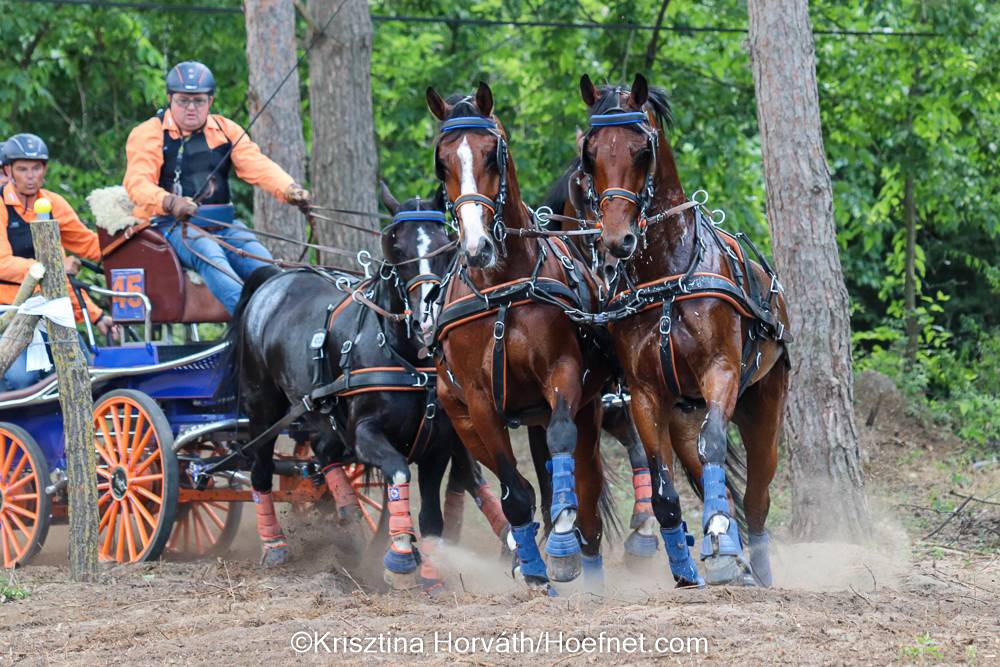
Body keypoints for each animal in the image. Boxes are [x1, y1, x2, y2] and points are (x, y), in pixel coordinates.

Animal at [215, 189, 504, 588]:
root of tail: (275, 280)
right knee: (259, 468)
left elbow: (433, 514)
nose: (427, 315)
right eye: (395, 246)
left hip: (321, 415)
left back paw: (348, 513)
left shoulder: (437, 444)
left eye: (446, 243)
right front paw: (400, 557)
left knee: (323, 452)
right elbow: (398, 470)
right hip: (264, 408)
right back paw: (274, 545)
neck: (408, 360)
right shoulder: (366, 433)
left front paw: (431, 574)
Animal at [424, 83, 612, 596]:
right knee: (513, 483)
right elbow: (514, 490)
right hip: (463, 418)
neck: (502, 286)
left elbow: (563, 446)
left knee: (583, 481)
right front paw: (530, 567)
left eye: (494, 154)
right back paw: (520, 550)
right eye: (442, 162)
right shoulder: (479, 398)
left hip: (577, 409)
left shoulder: (562, 373)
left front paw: (563, 549)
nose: (477, 247)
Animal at [580, 75, 788, 588]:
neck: (668, 272)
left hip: (764, 403)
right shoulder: (645, 393)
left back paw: (754, 563)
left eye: (642, 150)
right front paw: (685, 567)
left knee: (756, 495)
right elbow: (663, 487)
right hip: (681, 413)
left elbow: (714, 443)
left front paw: (721, 548)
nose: (617, 241)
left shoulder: (722, 372)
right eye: (589, 152)